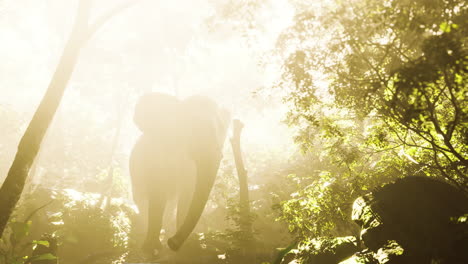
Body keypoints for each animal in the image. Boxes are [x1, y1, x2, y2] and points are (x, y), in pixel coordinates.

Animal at [129, 92, 231, 254]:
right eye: (190, 128)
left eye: (221, 130)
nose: (173, 243)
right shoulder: (155, 155)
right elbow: (158, 193)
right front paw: (152, 249)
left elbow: (188, 193)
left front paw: (188, 245)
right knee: (142, 201)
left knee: (170, 204)